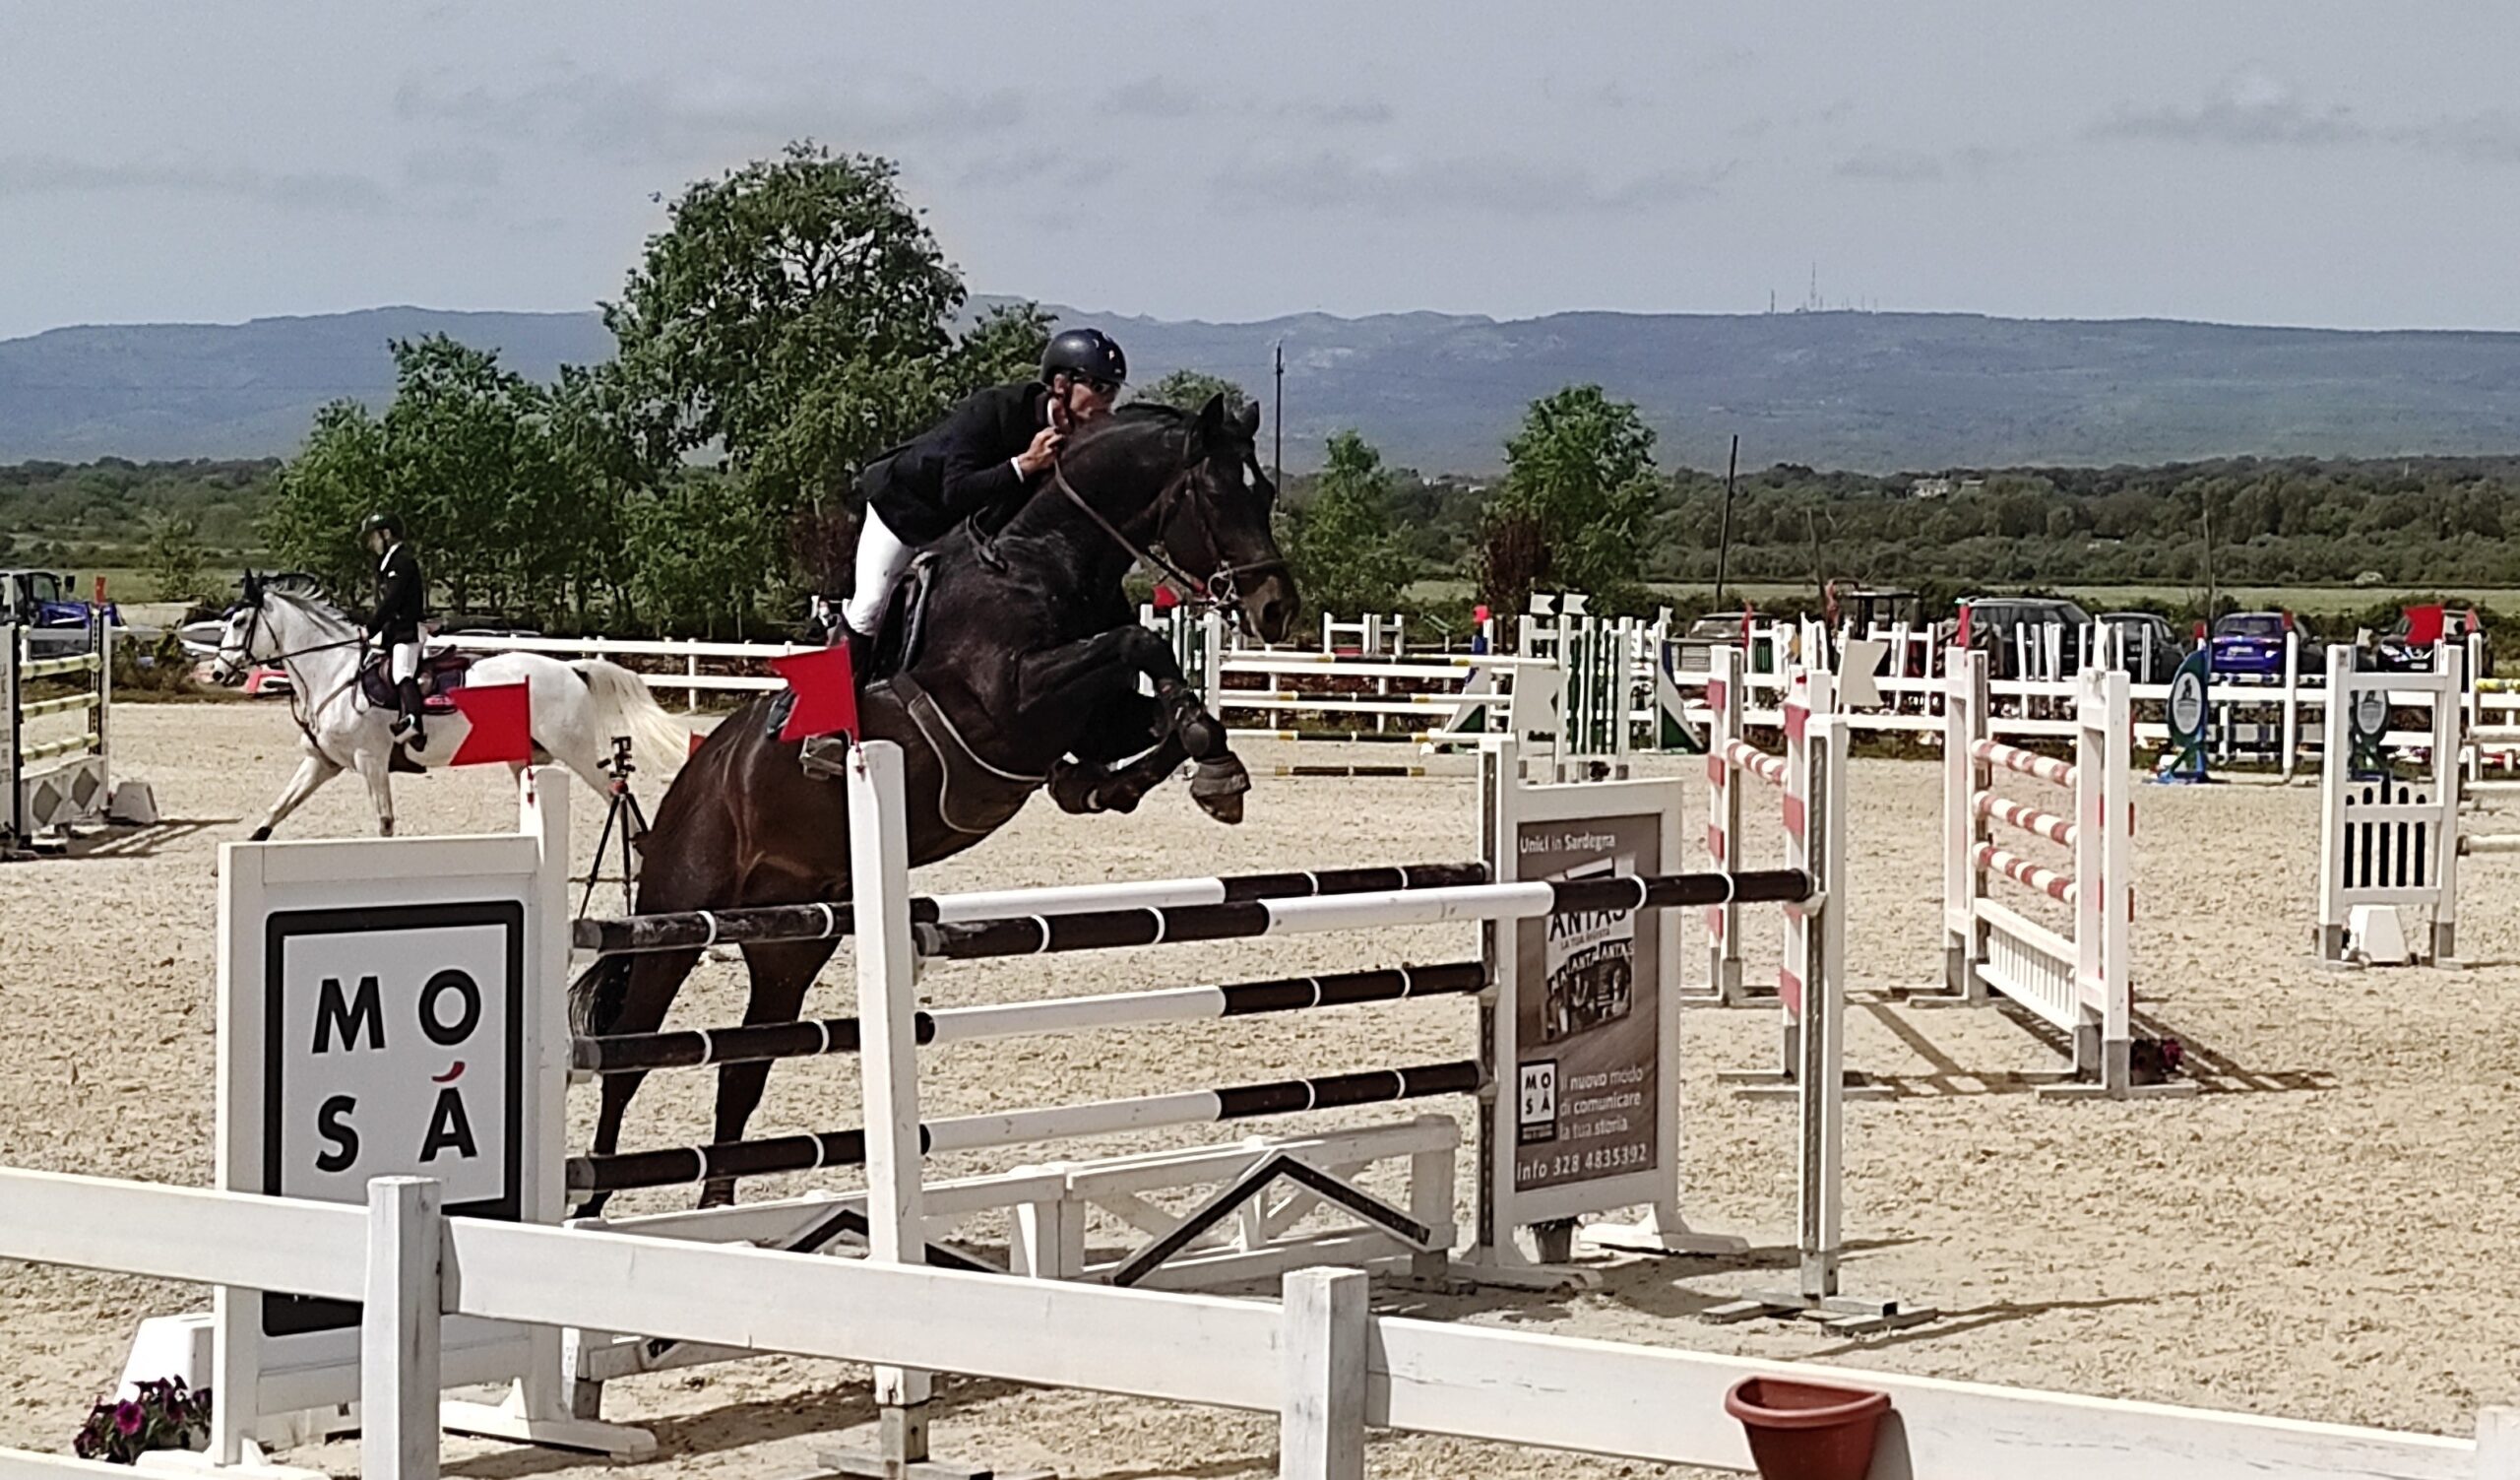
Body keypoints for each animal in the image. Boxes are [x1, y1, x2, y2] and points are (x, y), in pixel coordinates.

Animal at [213, 572, 690, 842]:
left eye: (239, 621)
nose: (218, 672)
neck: (334, 672)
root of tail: (570, 668)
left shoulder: (371, 761)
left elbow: (385, 821)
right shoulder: (322, 763)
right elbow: (276, 810)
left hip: (576, 752)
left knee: (617, 793)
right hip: (525, 758)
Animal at [561, 395, 1290, 1215]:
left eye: (1266, 491)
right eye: (1219, 494)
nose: (1277, 609)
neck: (1045, 560)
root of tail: (695, 775)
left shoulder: (1085, 717)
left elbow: (1159, 706)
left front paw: (1192, 770)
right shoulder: (1007, 703)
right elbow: (1140, 642)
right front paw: (1177, 770)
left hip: (789, 943)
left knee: (745, 1067)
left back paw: (721, 1209)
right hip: (677, 917)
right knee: (630, 1053)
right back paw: (590, 1209)